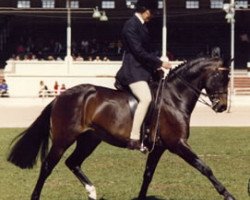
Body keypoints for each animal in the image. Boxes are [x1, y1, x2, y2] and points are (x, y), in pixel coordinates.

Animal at [6, 56, 235, 200]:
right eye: (222, 77)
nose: (222, 107)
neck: (174, 97)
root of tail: (60, 97)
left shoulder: (158, 147)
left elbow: (148, 175)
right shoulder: (177, 144)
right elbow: (204, 167)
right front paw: (228, 194)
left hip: (90, 139)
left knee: (73, 163)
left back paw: (92, 192)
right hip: (64, 139)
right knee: (47, 166)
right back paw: (37, 196)